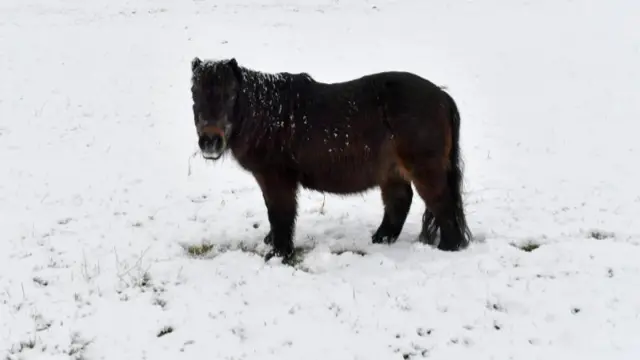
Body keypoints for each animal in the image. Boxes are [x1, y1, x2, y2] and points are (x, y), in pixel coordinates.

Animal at [188, 57, 472, 264]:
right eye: (194, 93)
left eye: (230, 94)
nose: (210, 141)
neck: (269, 116)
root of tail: (443, 98)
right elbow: (274, 214)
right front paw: (272, 243)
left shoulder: (277, 179)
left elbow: (281, 214)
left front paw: (279, 254)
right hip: (392, 172)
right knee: (399, 203)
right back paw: (380, 239)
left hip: (425, 170)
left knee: (442, 204)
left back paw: (448, 247)